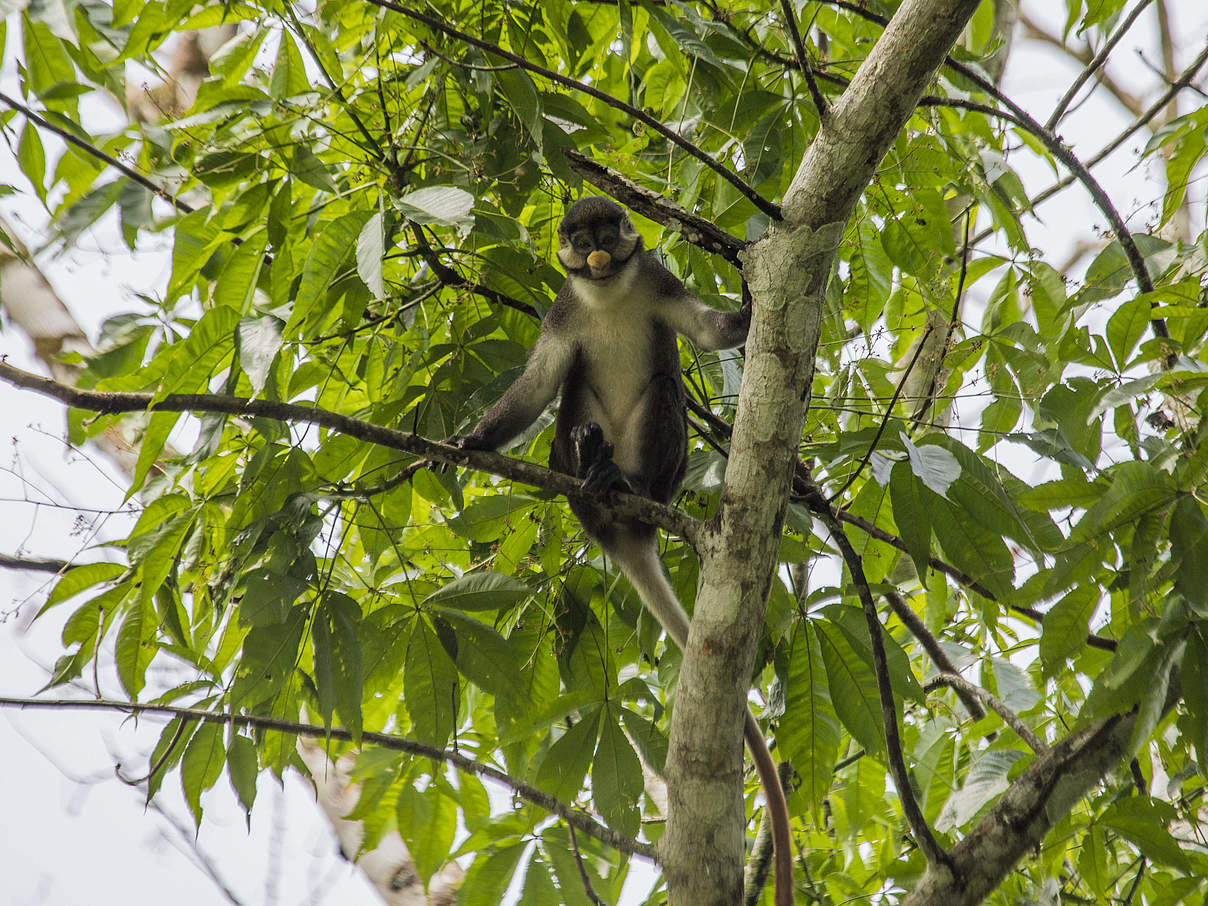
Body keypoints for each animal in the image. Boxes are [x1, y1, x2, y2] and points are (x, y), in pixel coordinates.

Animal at [451, 198, 792, 906]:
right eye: (580, 237)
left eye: (608, 231)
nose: (598, 251)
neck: (607, 295)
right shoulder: (562, 313)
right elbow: (537, 385)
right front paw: (472, 442)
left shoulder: (656, 282)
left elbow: (709, 333)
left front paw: (750, 296)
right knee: (571, 402)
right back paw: (588, 462)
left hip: (662, 468)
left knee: (664, 387)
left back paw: (622, 483)